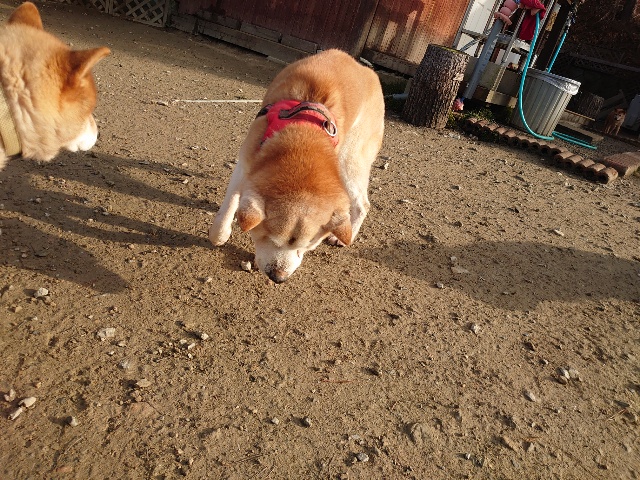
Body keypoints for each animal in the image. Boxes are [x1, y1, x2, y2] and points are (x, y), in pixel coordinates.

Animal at [209, 49, 385, 283]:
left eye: (307, 247)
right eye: (267, 237)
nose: (278, 277)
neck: (303, 136)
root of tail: (366, 69)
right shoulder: (245, 163)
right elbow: (229, 205)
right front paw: (219, 235)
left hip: (349, 161)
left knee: (363, 203)